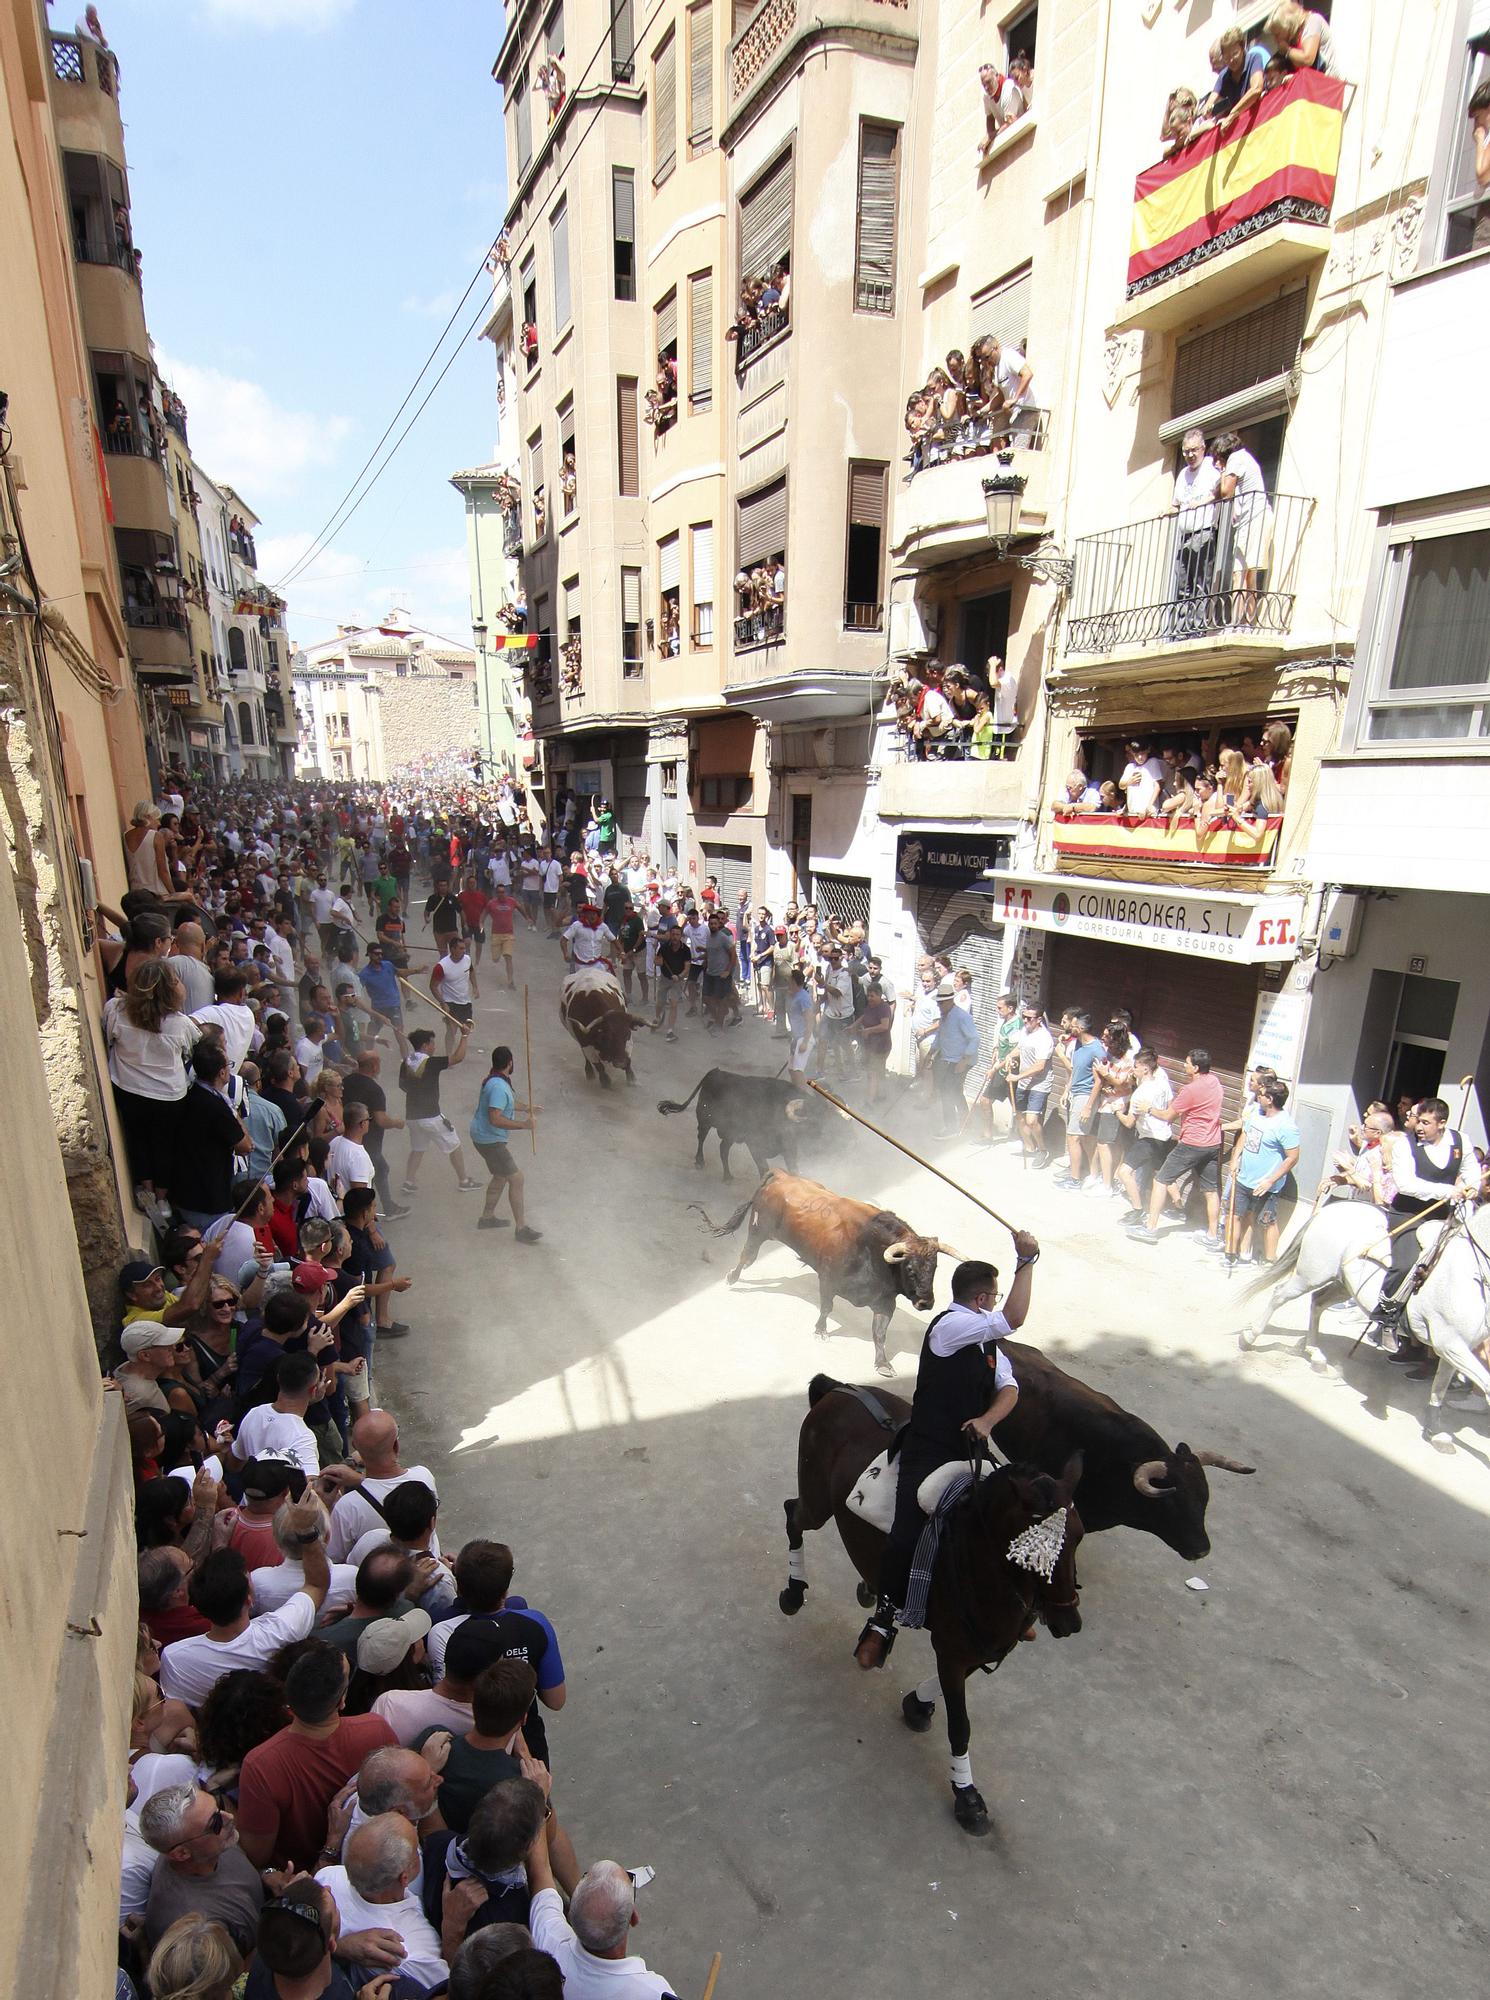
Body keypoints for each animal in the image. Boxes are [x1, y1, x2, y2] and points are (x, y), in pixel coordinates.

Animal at [692, 1168, 960, 1376]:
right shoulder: (828, 1280)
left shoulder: (884, 1302)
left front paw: (883, 1364)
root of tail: (782, 1175)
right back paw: (732, 1278)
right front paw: (820, 1331)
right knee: (747, 1258)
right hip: (759, 1231)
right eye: (910, 1267)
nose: (926, 1302)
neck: (870, 1249)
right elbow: (827, 1307)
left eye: (935, 1267)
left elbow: (880, 1333)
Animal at [780, 1376, 1080, 1832]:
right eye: (1035, 1549)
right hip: (816, 1501)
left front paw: (917, 1704)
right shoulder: (954, 1648)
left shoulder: (983, 1643)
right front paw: (968, 1797)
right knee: (793, 1514)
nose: (1069, 1620)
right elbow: (961, 1725)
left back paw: (870, 1591)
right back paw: (795, 1591)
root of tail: (840, 1389)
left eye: (1078, 1537)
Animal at [1232, 1192, 1488, 1448]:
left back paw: (1316, 1355)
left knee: (1317, 1302)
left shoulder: (1454, 1347)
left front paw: (1435, 1433)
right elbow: (1483, 1384)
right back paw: (1249, 1337)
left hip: (1343, 1284)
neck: (1471, 1273)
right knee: (1280, 1295)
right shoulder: (1450, 1343)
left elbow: (1440, 1386)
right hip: (1311, 1275)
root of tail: (1331, 1207)